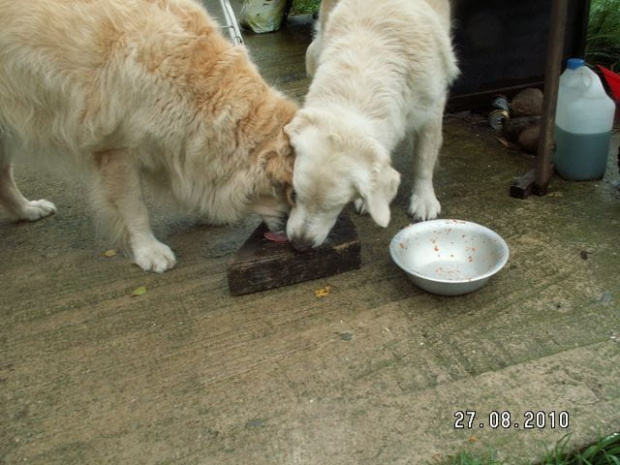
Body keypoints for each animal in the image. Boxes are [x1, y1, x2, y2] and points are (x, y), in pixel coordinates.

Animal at [0, 0, 298, 272]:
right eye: (292, 194)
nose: (295, 239)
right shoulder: (116, 150)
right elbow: (134, 208)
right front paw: (148, 250)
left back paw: (26, 210)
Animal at [284, 0, 456, 250]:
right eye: (294, 195)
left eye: (334, 206)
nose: (299, 245)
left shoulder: (431, 111)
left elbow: (423, 159)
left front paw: (424, 199)